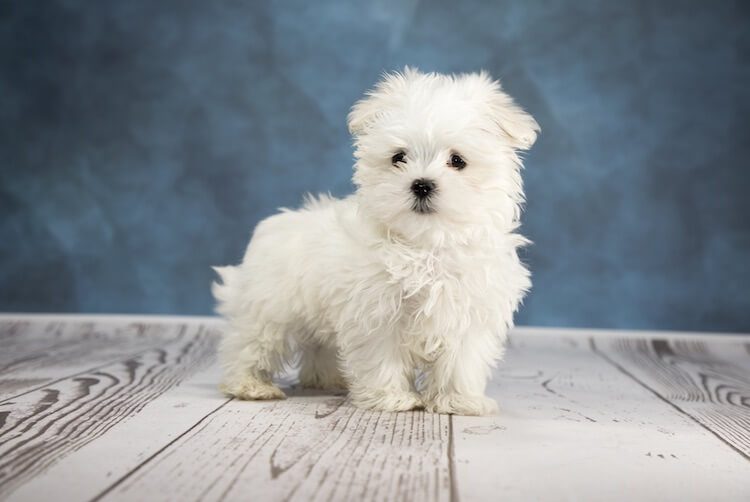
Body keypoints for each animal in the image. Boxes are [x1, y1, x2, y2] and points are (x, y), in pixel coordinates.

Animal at [214, 67, 536, 416]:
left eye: (458, 161)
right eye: (399, 157)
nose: (421, 185)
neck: (425, 244)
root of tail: (274, 224)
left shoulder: (469, 312)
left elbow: (461, 362)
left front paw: (459, 400)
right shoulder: (377, 313)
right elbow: (384, 357)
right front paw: (392, 398)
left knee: (318, 346)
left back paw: (327, 379)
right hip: (271, 309)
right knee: (249, 344)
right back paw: (249, 385)